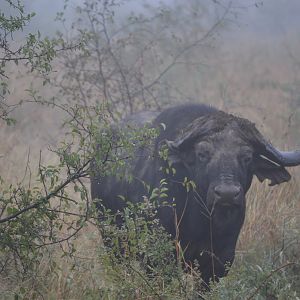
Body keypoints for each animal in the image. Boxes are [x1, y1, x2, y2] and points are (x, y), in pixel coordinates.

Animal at [91, 103, 300, 284]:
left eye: (247, 157)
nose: (226, 194)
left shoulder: (220, 261)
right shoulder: (159, 257)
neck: (201, 221)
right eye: (202, 154)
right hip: (111, 239)